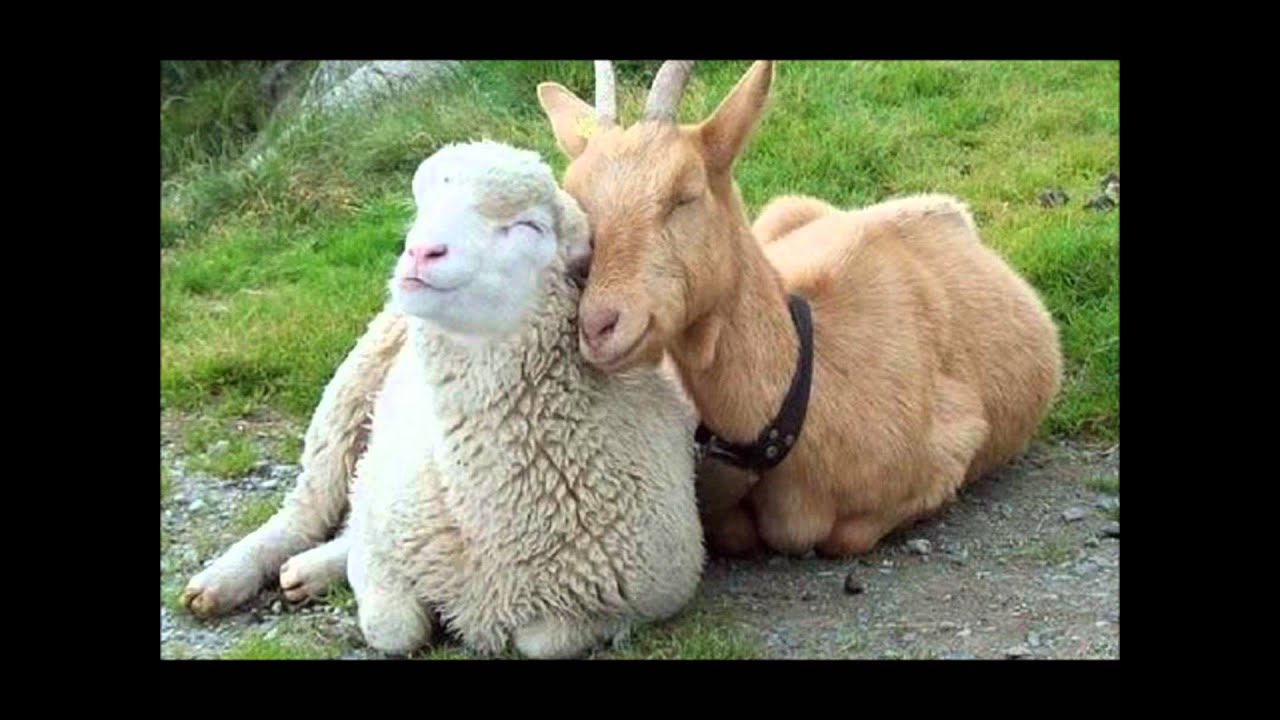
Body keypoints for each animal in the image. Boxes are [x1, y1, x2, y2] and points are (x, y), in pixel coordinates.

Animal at [185, 140, 705, 659]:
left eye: (529, 226)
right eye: (423, 206)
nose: (420, 251)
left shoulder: (647, 594)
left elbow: (541, 641)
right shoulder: (381, 523)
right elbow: (393, 626)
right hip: (350, 391)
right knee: (306, 508)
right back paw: (224, 580)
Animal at [535, 60, 1063, 559]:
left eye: (685, 194)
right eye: (577, 200)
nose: (598, 325)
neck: (813, 389)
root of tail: (947, 208)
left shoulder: (955, 448)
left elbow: (846, 536)